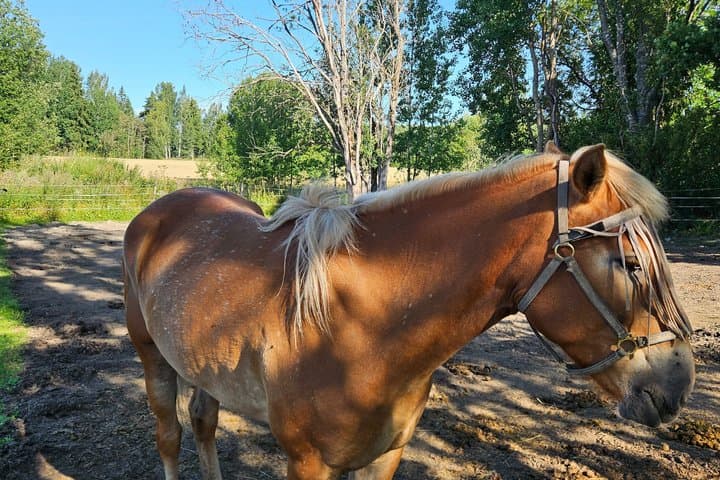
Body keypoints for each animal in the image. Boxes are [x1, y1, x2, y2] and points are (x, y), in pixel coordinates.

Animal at [123, 142, 694, 480]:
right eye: (629, 264)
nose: (679, 385)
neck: (362, 325)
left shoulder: (384, 455)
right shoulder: (307, 462)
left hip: (201, 362)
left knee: (204, 422)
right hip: (153, 358)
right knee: (171, 435)